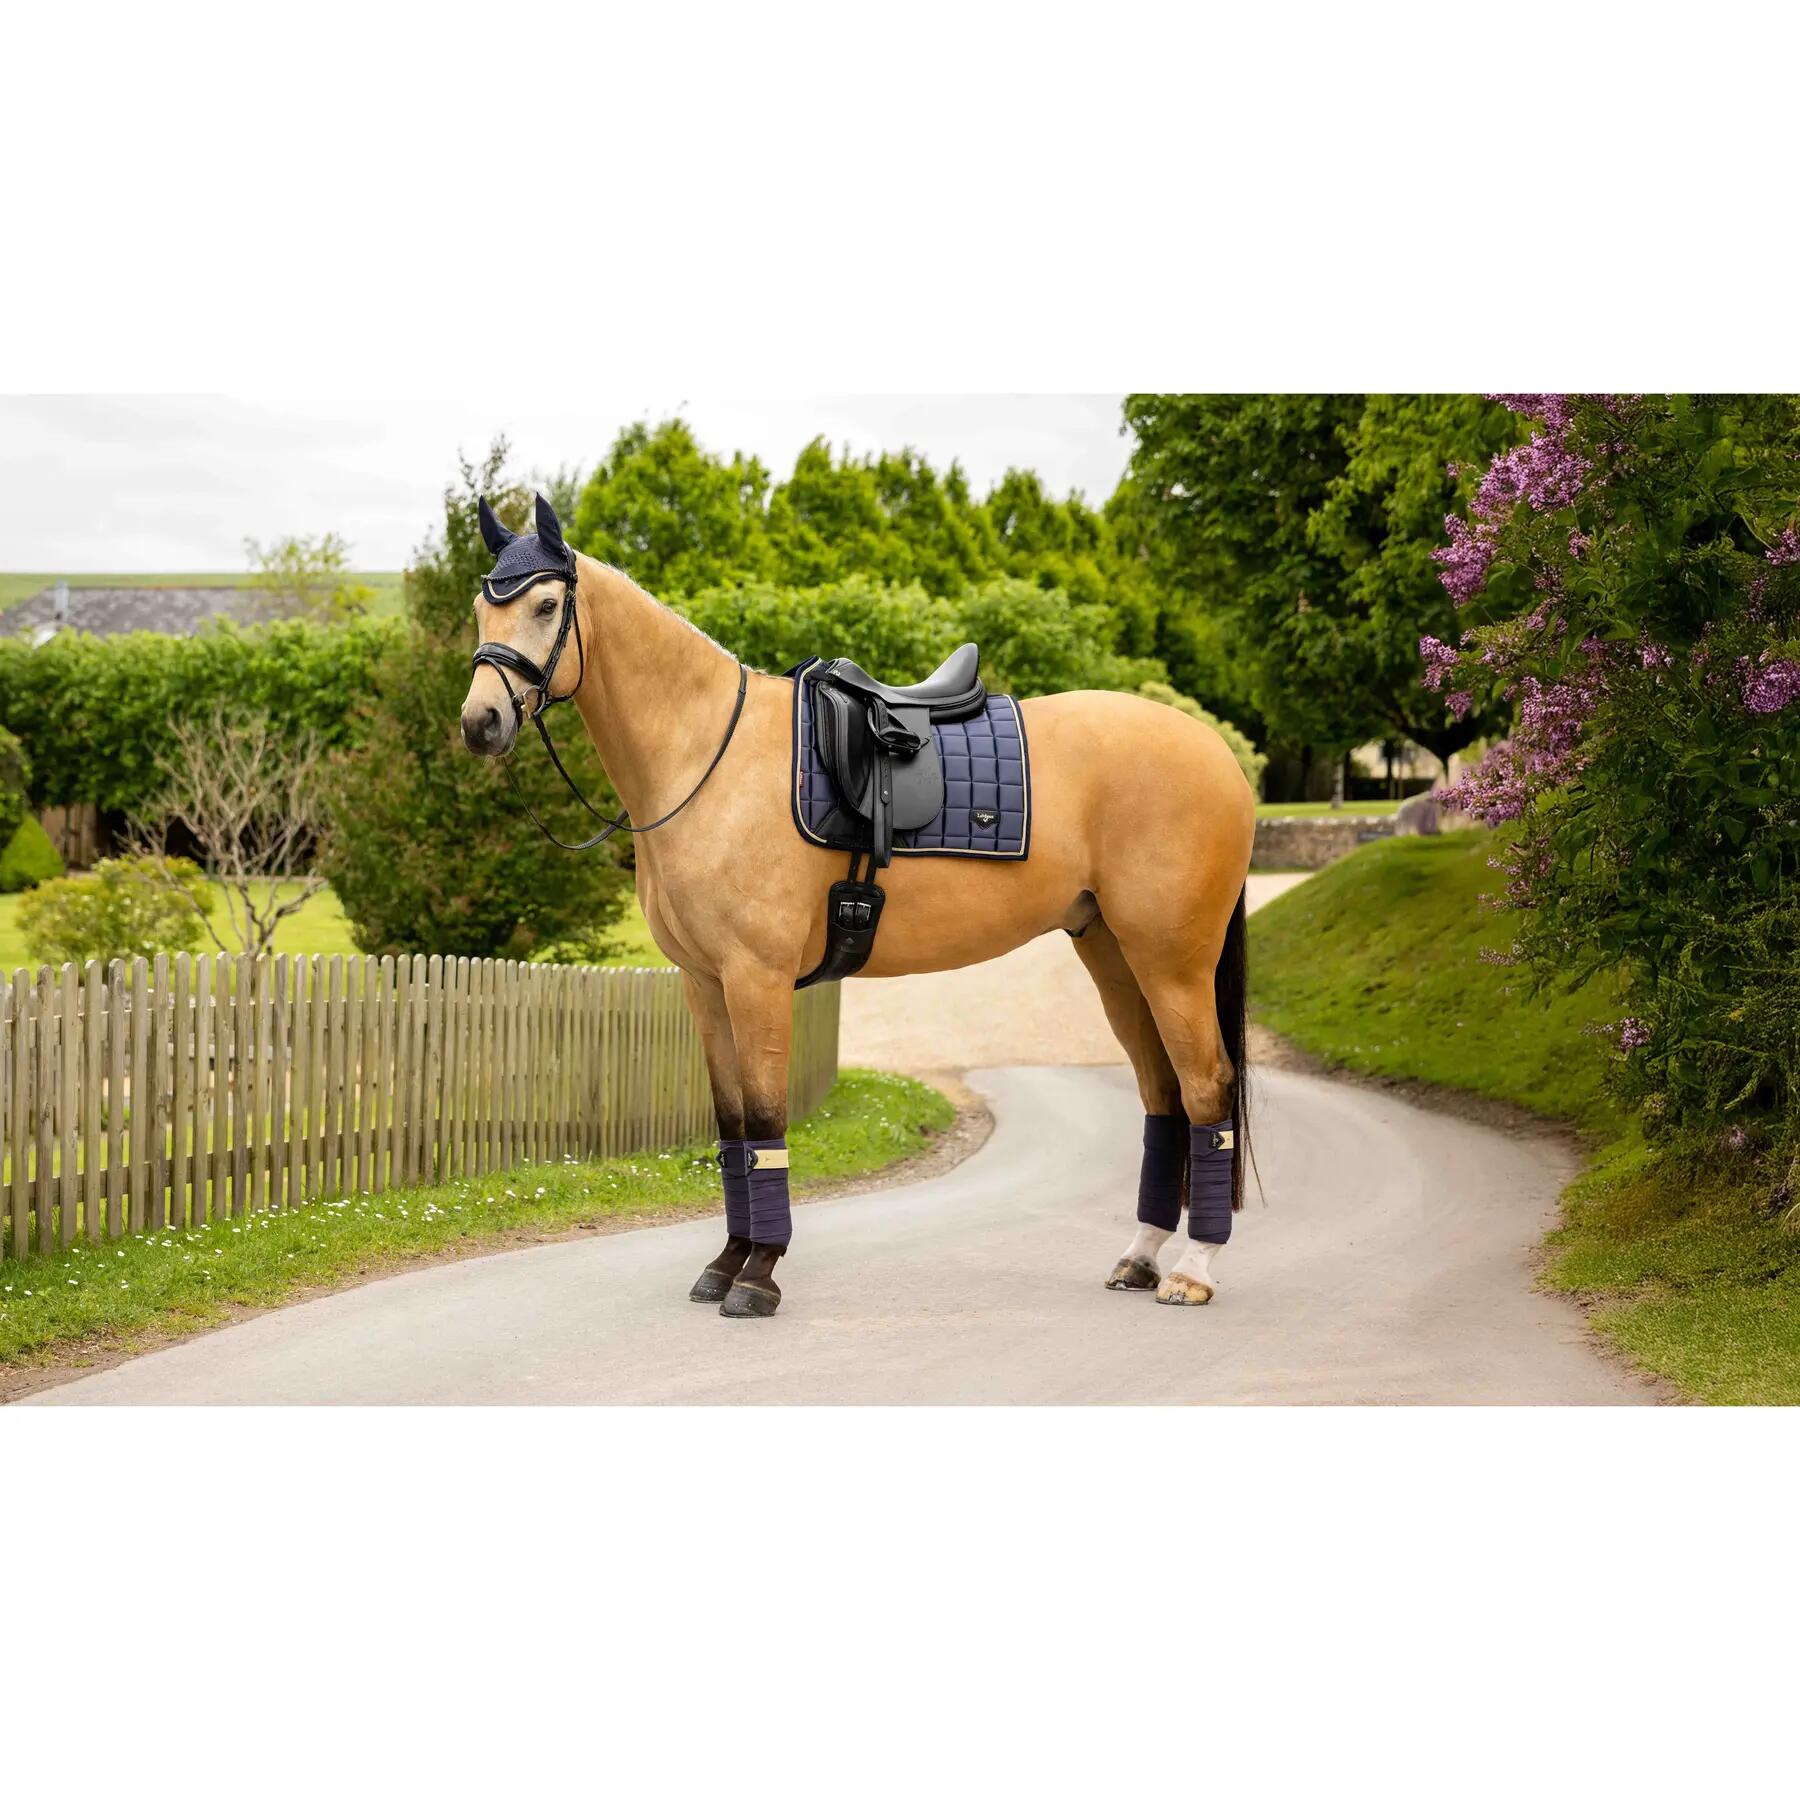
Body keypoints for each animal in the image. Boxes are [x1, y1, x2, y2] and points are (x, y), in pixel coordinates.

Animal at [460, 494, 1255, 1318]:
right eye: (481, 608)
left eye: (546, 605)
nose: (481, 722)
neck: (708, 757)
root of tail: (1216, 753)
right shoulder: (704, 984)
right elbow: (733, 1127)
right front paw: (727, 1261)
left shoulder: (757, 978)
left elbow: (766, 1122)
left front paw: (759, 1274)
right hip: (1114, 957)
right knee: (1162, 1093)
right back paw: (1141, 1257)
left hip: (1173, 964)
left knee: (1206, 1088)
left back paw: (1194, 1269)